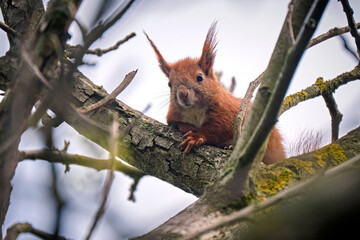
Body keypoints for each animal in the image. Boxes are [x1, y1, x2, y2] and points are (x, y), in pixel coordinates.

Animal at [145, 22, 286, 164]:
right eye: (169, 84)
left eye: (200, 77)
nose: (182, 94)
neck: (194, 110)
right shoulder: (173, 114)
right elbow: (174, 122)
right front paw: (184, 127)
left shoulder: (229, 112)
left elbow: (218, 129)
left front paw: (196, 136)